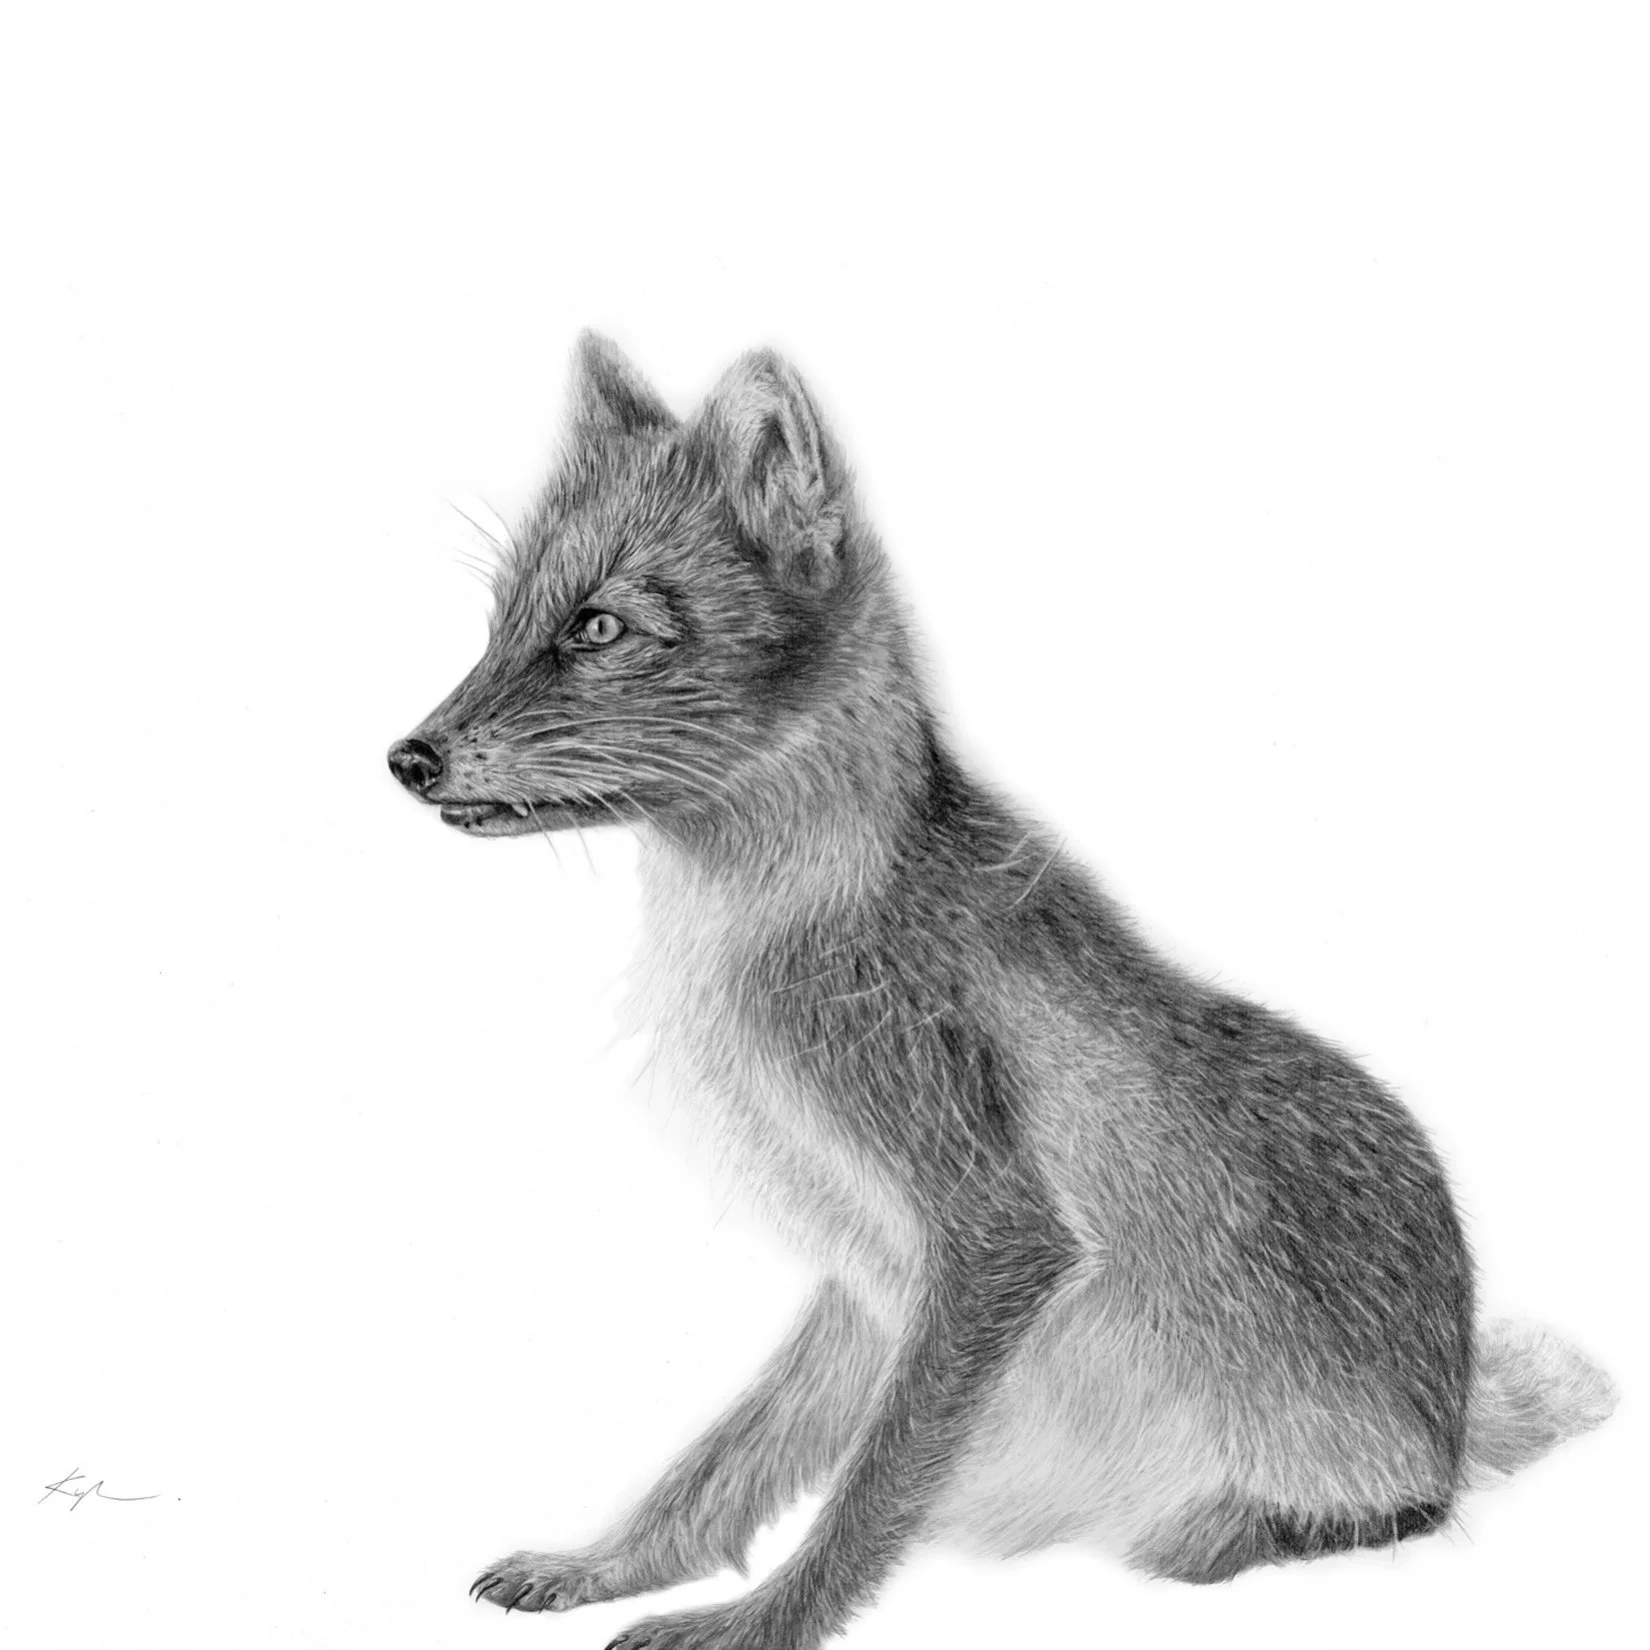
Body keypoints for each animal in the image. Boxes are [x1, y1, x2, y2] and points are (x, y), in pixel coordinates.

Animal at [388, 333, 1616, 1650]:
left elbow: (870, 1492)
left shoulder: (993, 1240)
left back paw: (1223, 1525)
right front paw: (604, 1565)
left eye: (600, 625)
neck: (760, 936)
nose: (406, 756)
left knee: (1399, 1512)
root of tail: (1454, 1396)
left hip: (1311, 1458)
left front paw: (760, 1626)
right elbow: (728, 1462)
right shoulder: (867, 1277)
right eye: (501, 620)